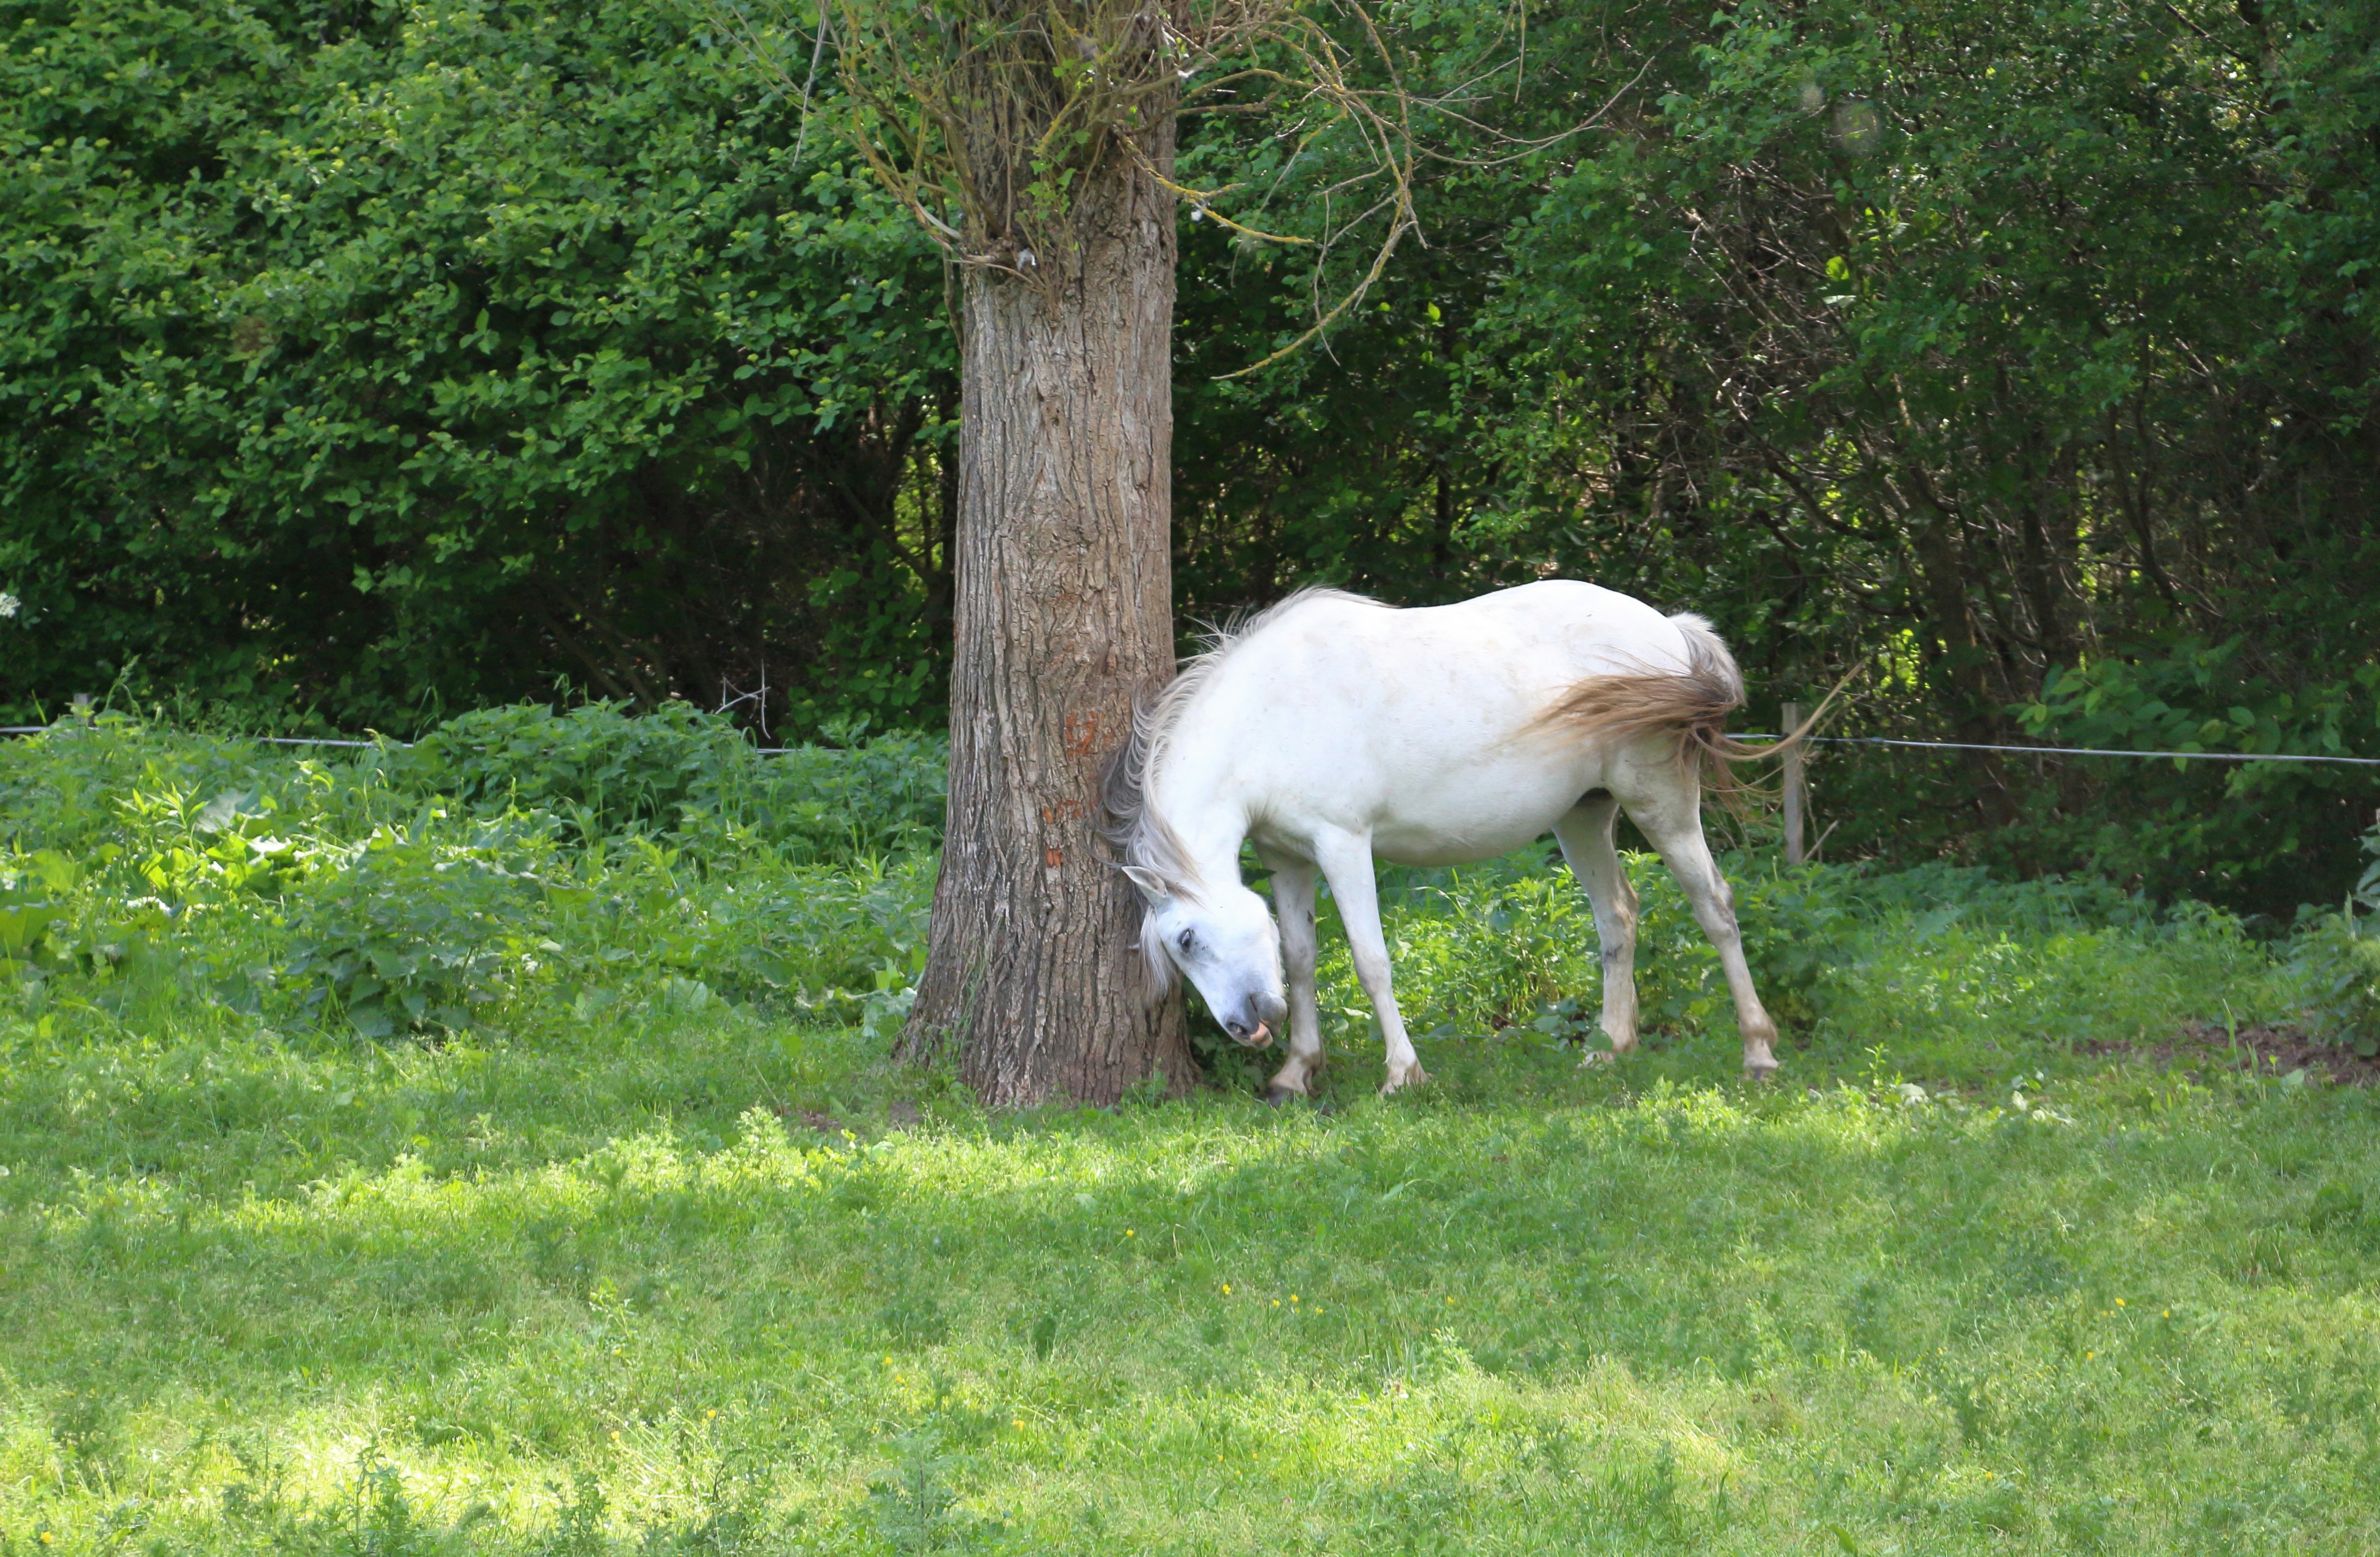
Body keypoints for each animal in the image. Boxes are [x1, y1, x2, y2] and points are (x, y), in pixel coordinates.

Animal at [1102, 580, 1786, 1100]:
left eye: (1186, 939)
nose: (1243, 1027)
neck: (1268, 717)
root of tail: (1670, 629)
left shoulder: (1343, 846)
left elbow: (1371, 961)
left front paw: (1402, 1075)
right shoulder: (1287, 858)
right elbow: (1299, 959)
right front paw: (1296, 1073)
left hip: (1662, 803)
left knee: (1715, 907)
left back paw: (1758, 1054)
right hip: (1582, 818)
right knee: (1617, 916)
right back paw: (1609, 1050)